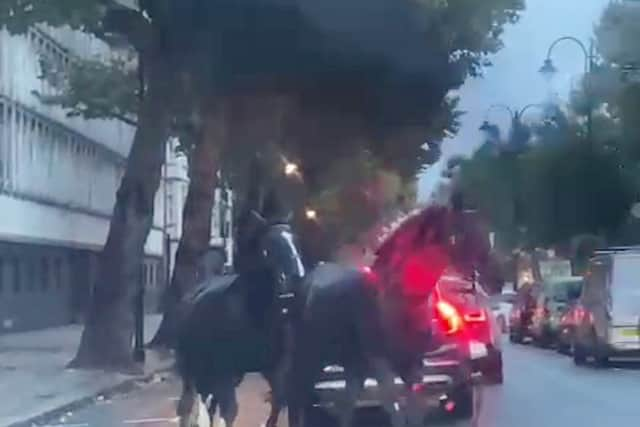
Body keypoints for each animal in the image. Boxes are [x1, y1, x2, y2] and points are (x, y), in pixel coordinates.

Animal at [175, 210, 304, 427]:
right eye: (268, 247)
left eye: (295, 240)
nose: (296, 279)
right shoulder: (224, 371)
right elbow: (229, 411)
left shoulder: (274, 368)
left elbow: (278, 401)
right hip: (194, 368)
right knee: (190, 403)